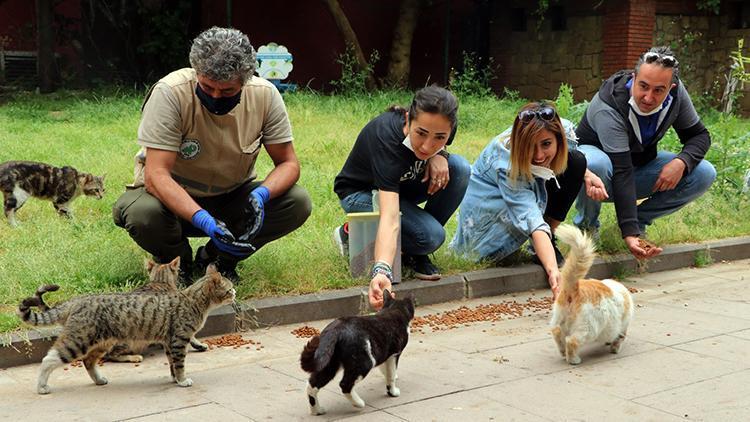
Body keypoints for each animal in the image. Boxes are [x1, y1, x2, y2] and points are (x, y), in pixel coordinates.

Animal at [18, 262, 235, 394]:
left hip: (102, 342)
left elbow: (172, 364)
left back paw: (99, 380)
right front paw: (182, 381)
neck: (193, 300)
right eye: (229, 289)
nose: (235, 293)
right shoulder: (178, 340)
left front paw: (175, 379)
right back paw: (42, 386)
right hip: (78, 340)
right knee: (49, 359)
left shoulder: (168, 342)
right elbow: (179, 364)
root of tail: (77, 300)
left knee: (88, 361)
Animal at [548, 224, 636, 366]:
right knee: (571, 341)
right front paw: (614, 348)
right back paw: (574, 360)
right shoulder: (622, 328)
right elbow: (619, 338)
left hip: (558, 319)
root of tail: (574, 288)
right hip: (589, 328)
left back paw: (562, 352)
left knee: (557, 332)